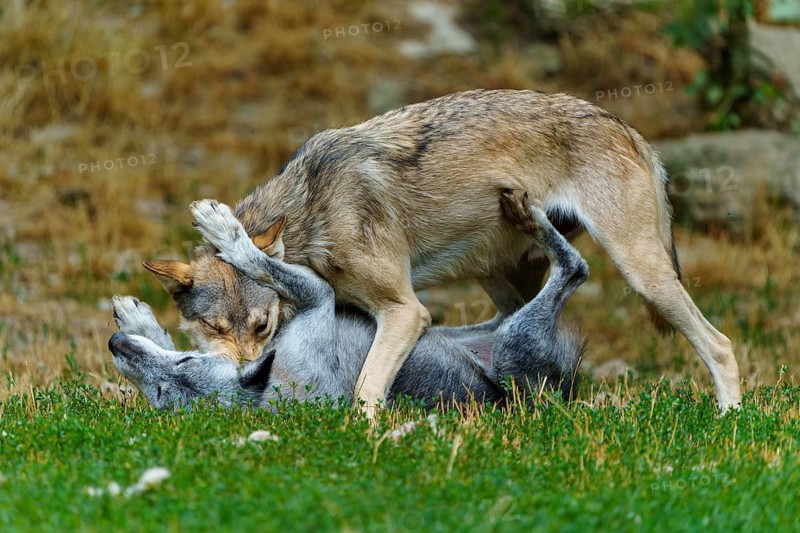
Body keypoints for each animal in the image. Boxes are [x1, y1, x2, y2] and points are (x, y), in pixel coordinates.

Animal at [110, 191, 585, 410]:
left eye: (188, 362)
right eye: (159, 396)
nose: (116, 345)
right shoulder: (319, 297)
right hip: (513, 340)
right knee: (575, 268)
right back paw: (533, 219)